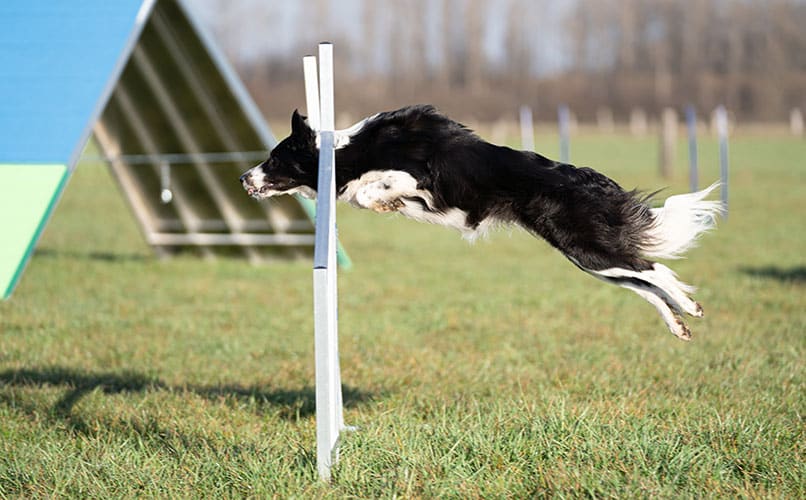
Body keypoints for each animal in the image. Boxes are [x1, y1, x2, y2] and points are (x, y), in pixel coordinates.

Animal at [240, 105, 724, 340]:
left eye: (275, 158)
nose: (244, 177)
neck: (348, 151)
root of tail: (593, 180)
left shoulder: (416, 177)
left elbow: (368, 190)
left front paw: (382, 201)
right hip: (587, 258)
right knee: (644, 284)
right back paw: (679, 323)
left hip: (589, 247)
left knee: (653, 268)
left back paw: (691, 307)